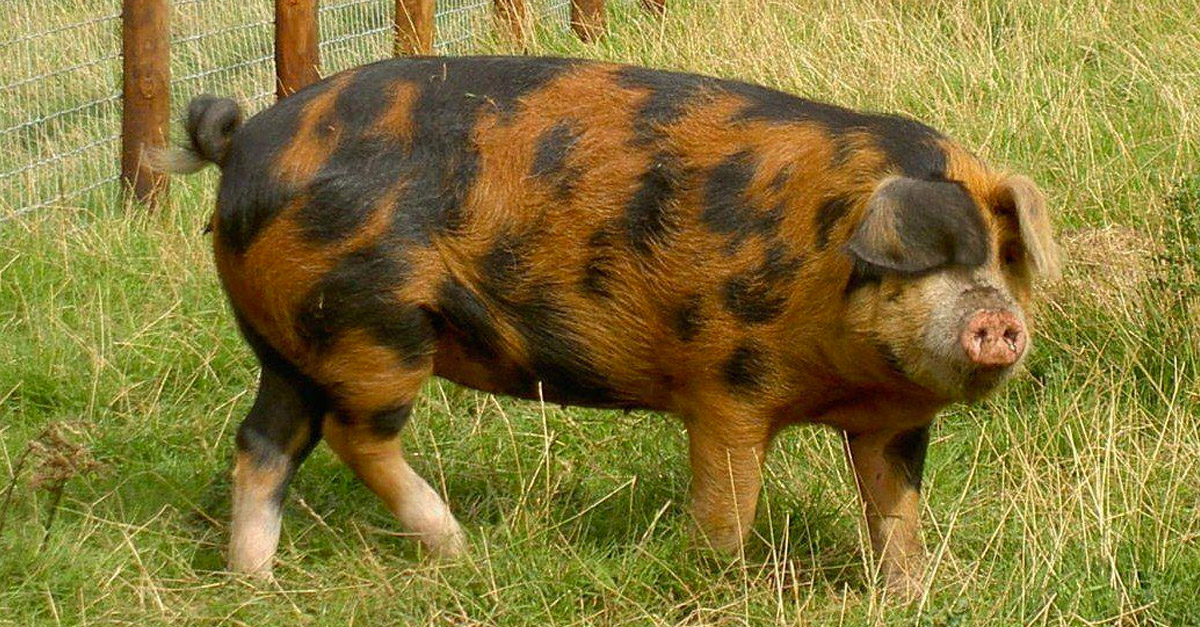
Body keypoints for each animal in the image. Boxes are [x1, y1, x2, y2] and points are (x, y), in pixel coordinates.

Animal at [154, 55, 1060, 597]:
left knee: (264, 441)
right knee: (353, 435)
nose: (997, 321)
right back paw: (458, 548)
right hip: (367, 324)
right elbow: (727, 500)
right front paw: (720, 581)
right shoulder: (725, 382)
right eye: (925, 258)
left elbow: (895, 512)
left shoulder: (891, 424)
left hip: (290, 341)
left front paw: (914, 593)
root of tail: (242, 143)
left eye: (1008, 256)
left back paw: (254, 584)